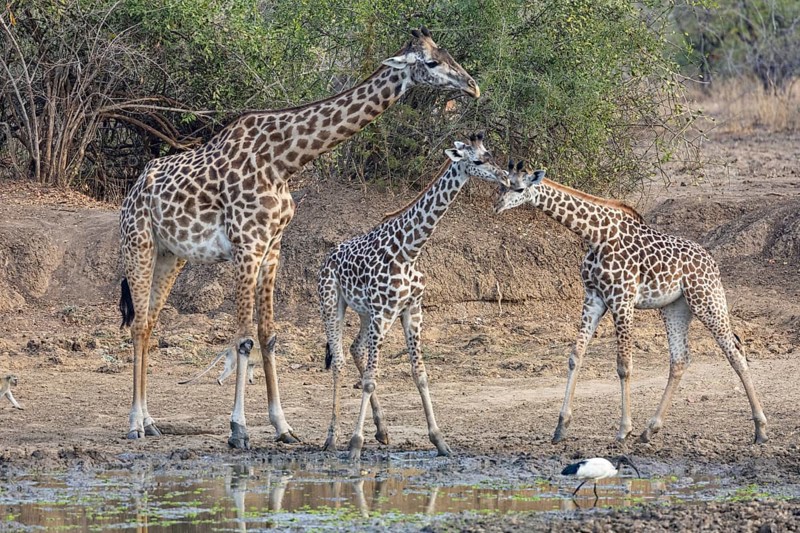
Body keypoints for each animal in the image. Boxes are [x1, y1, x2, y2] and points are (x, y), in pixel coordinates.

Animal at [117, 27, 481, 449]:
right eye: (432, 62)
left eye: (448, 53)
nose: (472, 86)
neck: (283, 161)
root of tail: (131, 193)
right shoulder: (246, 246)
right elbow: (243, 338)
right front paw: (238, 429)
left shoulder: (272, 247)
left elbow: (268, 335)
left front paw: (282, 426)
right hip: (138, 245)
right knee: (138, 324)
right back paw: (135, 423)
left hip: (170, 255)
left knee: (149, 323)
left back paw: (151, 421)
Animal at [317, 133, 509, 460]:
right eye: (477, 160)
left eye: (491, 154)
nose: (506, 177)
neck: (410, 250)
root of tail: (327, 258)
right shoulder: (384, 312)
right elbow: (370, 380)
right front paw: (355, 443)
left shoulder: (411, 309)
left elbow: (420, 373)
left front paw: (440, 440)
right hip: (333, 303)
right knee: (339, 361)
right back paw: (332, 438)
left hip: (365, 312)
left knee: (355, 349)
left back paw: (381, 430)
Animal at [494, 161, 768, 445]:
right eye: (501, 184)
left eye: (520, 188)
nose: (497, 206)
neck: (595, 235)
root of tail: (712, 261)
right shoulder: (593, 298)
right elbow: (575, 356)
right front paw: (561, 427)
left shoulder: (622, 299)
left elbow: (624, 366)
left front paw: (624, 429)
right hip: (675, 307)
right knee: (680, 359)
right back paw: (650, 429)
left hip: (706, 299)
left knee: (734, 351)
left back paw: (760, 429)